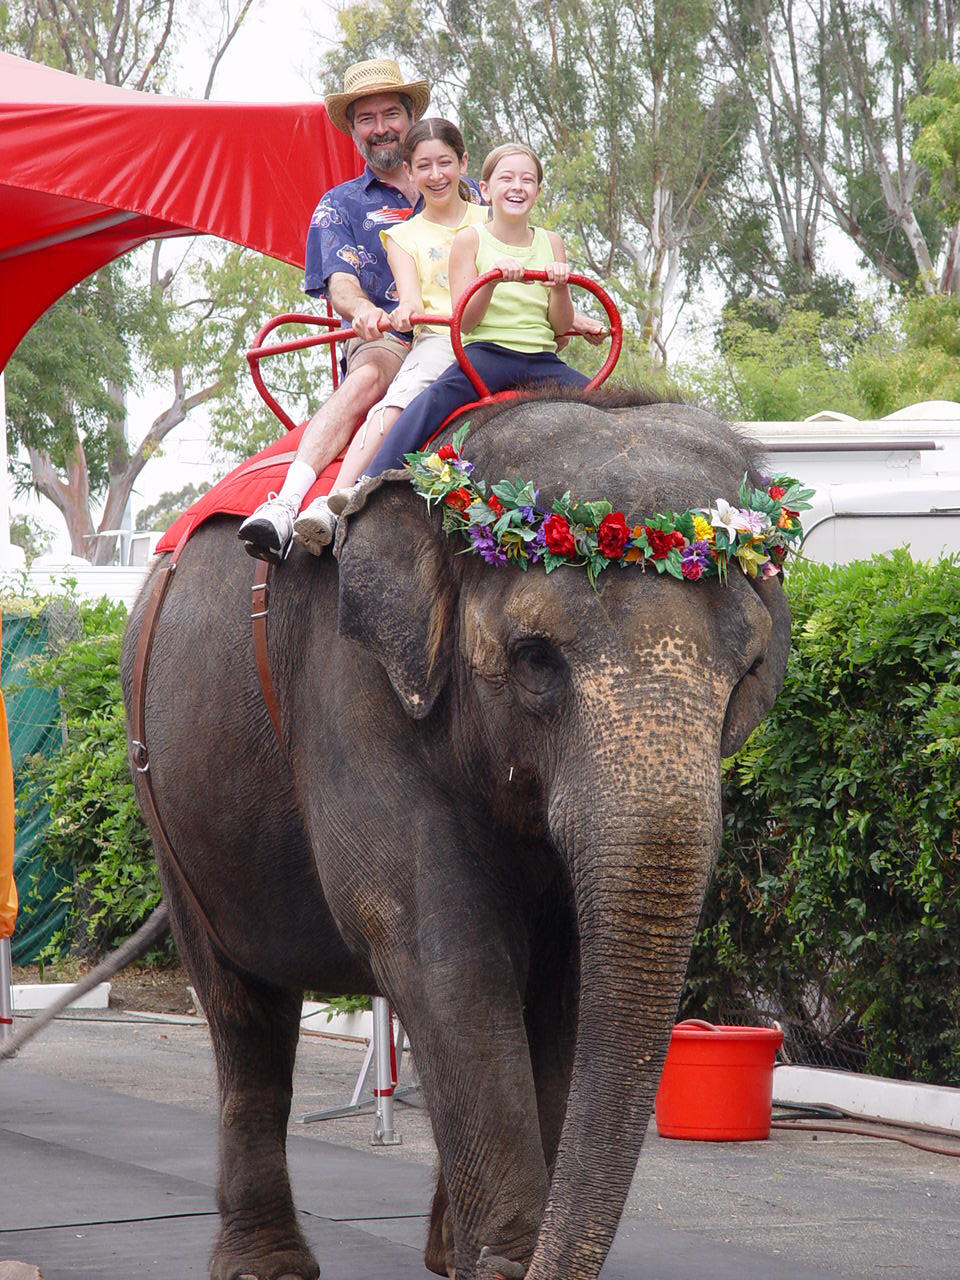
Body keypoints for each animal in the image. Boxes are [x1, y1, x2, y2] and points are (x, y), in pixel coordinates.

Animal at [120, 389, 793, 1280]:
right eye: (536, 659)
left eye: (748, 672)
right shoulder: (350, 686)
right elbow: (446, 958)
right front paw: (506, 1261)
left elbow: (567, 979)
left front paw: (493, 1258)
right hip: (167, 799)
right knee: (243, 1009)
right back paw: (268, 1265)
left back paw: (436, 1254)